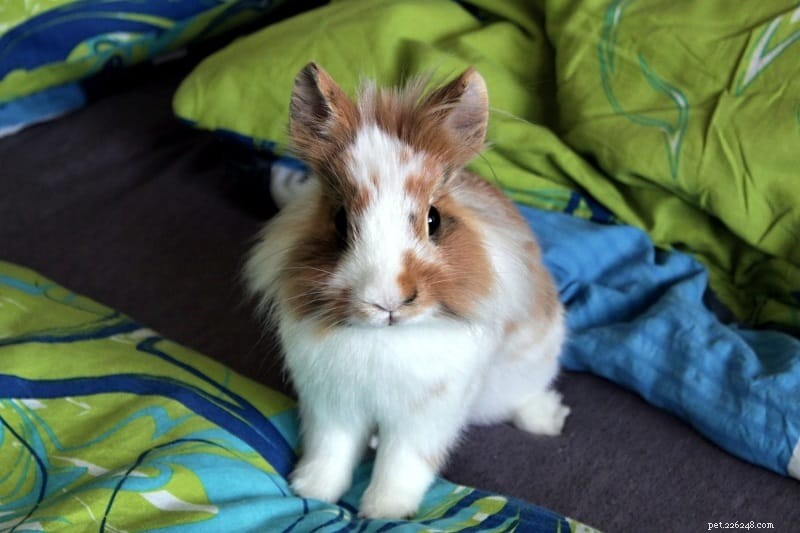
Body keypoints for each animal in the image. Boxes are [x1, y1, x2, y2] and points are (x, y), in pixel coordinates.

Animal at [244, 62, 570, 520]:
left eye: (434, 219)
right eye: (340, 221)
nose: (388, 301)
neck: (384, 338)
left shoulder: (424, 418)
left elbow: (403, 463)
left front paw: (385, 512)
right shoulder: (331, 407)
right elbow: (331, 452)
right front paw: (311, 491)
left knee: (525, 396)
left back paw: (548, 419)